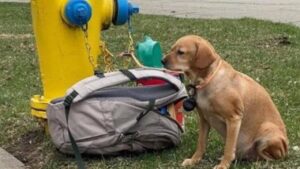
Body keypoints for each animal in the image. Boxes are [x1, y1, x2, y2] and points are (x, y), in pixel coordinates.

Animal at [162, 35, 288, 169]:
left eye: (181, 52)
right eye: (172, 49)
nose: (162, 61)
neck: (207, 80)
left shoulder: (234, 118)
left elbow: (228, 148)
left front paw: (223, 165)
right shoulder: (204, 119)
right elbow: (201, 144)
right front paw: (194, 160)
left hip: (267, 130)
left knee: (268, 156)